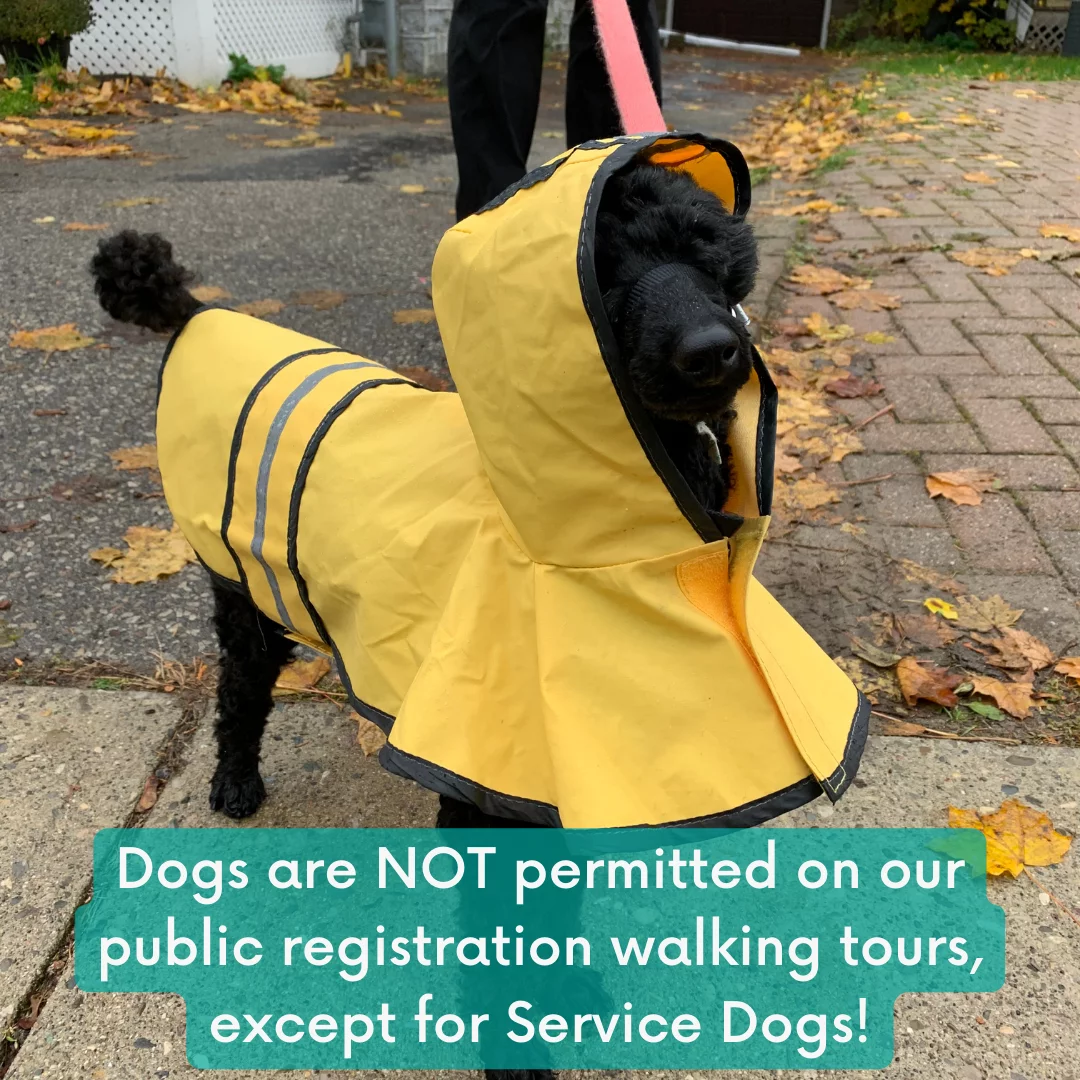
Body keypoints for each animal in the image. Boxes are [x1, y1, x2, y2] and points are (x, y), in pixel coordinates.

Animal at [90, 157, 757, 833]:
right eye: (599, 272)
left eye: (705, 245)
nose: (709, 351)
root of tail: (196, 314)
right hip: (245, 594)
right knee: (240, 691)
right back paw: (234, 779)